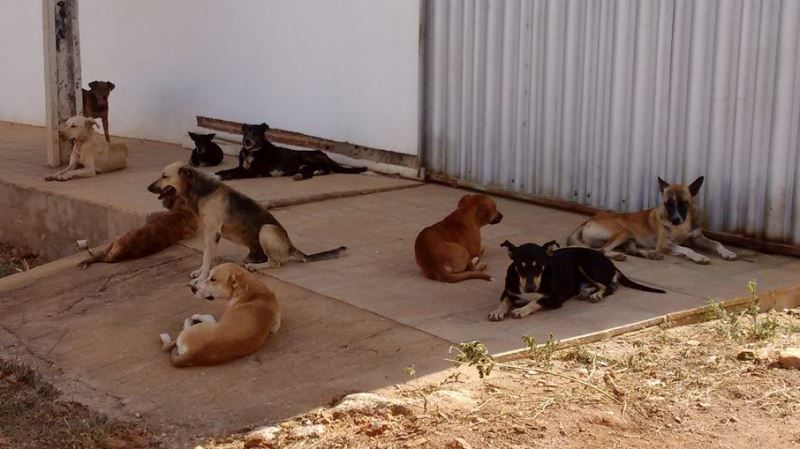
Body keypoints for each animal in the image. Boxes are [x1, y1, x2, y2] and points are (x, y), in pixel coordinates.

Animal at [148, 163, 348, 286]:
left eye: (164, 176)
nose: (148, 188)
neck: (200, 190)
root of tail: (291, 246)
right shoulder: (210, 235)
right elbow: (207, 257)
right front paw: (200, 273)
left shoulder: (212, 233)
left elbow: (206, 258)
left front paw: (202, 279)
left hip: (267, 230)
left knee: (277, 263)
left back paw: (257, 266)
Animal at [214, 122, 368, 180]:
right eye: (245, 132)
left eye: (256, 132)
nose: (247, 141)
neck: (251, 153)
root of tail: (324, 153)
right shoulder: (242, 167)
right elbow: (226, 170)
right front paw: (214, 174)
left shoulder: (253, 172)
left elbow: (232, 174)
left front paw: (219, 177)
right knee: (321, 170)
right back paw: (315, 172)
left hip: (305, 156)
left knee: (316, 170)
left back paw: (302, 175)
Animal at [488, 240, 668, 320]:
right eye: (520, 266)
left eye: (540, 266)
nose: (530, 288)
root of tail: (608, 260)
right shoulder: (508, 291)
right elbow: (504, 301)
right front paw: (497, 311)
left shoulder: (555, 299)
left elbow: (535, 301)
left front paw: (521, 310)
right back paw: (586, 291)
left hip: (585, 261)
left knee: (611, 285)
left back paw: (595, 295)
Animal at [564, 177, 740, 264]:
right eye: (667, 204)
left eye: (684, 203)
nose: (675, 220)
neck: (683, 225)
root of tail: (590, 220)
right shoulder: (664, 244)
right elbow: (686, 249)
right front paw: (699, 256)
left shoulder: (697, 237)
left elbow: (717, 243)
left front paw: (728, 252)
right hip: (623, 231)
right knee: (602, 250)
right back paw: (620, 256)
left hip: (629, 238)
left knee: (630, 250)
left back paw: (650, 255)